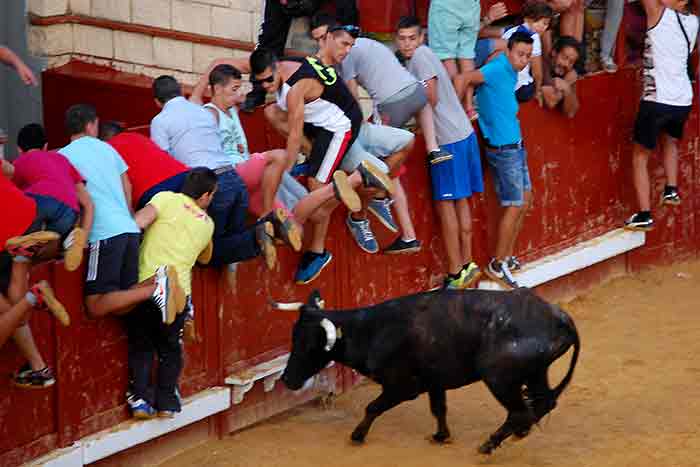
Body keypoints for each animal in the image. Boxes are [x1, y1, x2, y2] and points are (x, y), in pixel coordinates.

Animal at [274, 288, 580, 456]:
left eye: (308, 345)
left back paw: (491, 443)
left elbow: (372, 406)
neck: (371, 330)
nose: (287, 379)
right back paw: (519, 431)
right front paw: (441, 436)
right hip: (536, 373)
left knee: (519, 410)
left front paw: (357, 436)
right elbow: (438, 409)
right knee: (540, 403)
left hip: (499, 378)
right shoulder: (435, 382)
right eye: (293, 337)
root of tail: (559, 317)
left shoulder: (402, 387)